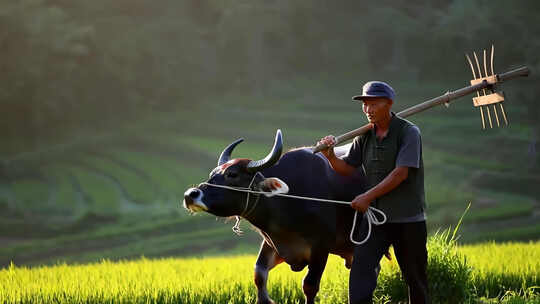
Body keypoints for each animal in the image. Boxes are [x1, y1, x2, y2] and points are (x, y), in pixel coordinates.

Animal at [184, 130, 370, 304]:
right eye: (212, 174)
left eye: (232, 174)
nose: (190, 195)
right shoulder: (272, 243)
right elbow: (259, 273)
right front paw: (266, 300)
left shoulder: (321, 247)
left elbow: (309, 285)